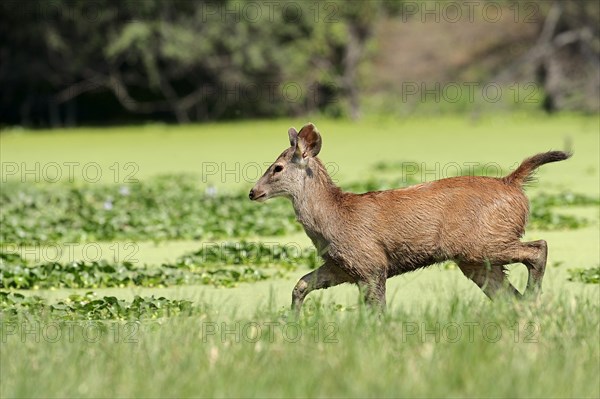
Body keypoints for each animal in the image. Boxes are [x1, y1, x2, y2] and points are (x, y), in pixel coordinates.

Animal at [248, 123, 572, 314]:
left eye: (276, 168)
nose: (253, 192)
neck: (334, 218)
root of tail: (512, 183)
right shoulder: (341, 265)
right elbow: (300, 285)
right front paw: (293, 320)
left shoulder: (371, 263)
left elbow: (377, 311)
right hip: (474, 259)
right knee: (508, 295)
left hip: (482, 242)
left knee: (538, 248)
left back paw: (534, 298)